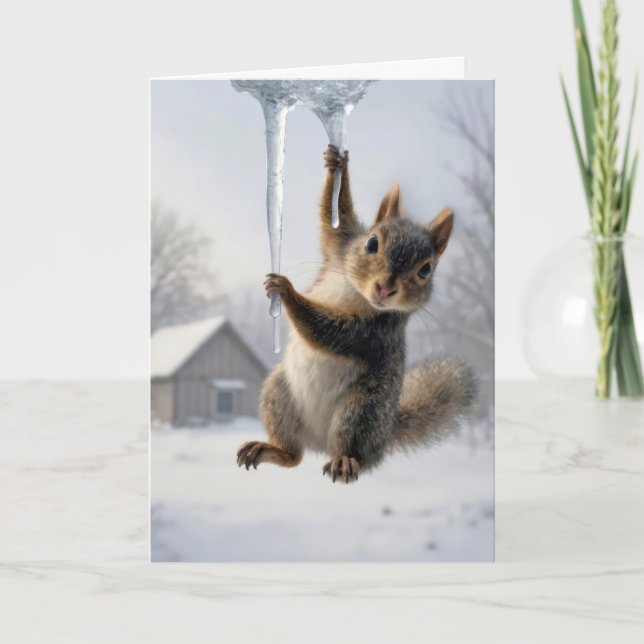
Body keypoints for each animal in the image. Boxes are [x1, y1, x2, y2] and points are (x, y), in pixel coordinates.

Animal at [237, 144, 477, 483]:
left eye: (426, 270)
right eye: (372, 242)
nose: (385, 288)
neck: (357, 292)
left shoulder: (375, 331)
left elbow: (331, 331)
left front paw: (288, 292)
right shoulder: (341, 243)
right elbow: (333, 217)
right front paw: (337, 163)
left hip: (362, 411)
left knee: (349, 449)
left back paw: (344, 463)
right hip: (277, 395)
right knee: (292, 457)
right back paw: (270, 450)